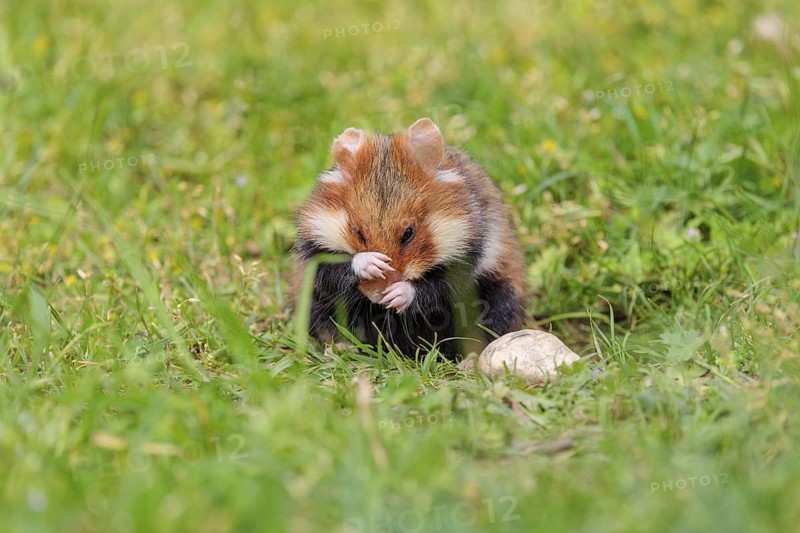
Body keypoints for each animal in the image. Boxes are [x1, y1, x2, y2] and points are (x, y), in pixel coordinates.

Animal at [293, 118, 526, 358]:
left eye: (409, 233)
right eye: (358, 232)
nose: (380, 296)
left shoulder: (466, 258)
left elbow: (436, 286)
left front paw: (396, 294)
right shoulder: (315, 251)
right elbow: (333, 268)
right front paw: (373, 264)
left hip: (502, 295)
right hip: (312, 301)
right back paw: (340, 349)